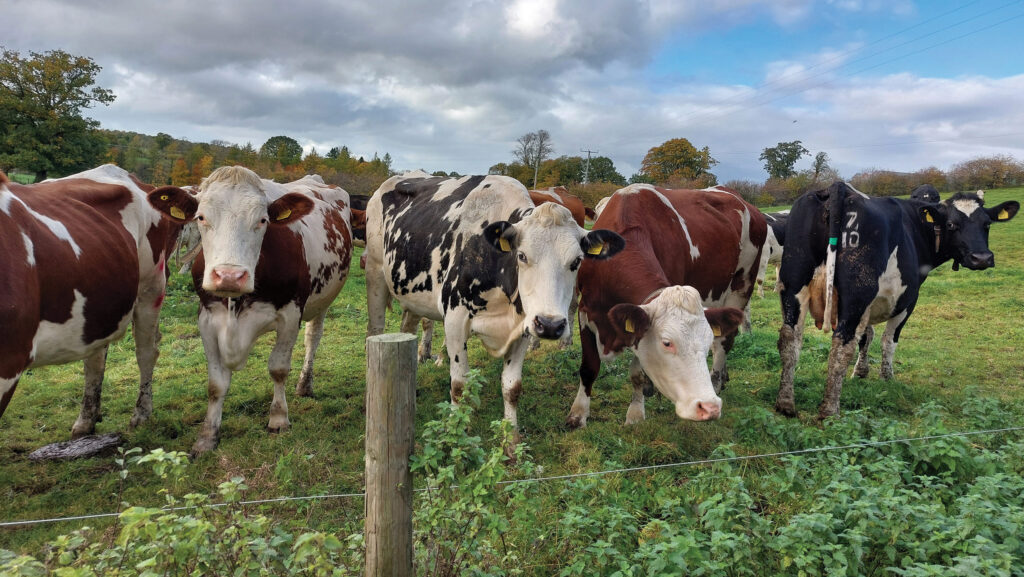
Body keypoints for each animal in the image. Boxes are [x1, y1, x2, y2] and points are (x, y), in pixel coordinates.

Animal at [0, 165, 183, 438]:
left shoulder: (10, 361)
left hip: (152, 286)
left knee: (146, 352)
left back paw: (141, 414)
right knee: (95, 359)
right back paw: (87, 420)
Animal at [147, 166, 354, 454]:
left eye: (263, 220)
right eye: (201, 217)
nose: (229, 276)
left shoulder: (290, 314)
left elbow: (278, 369)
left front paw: (278, 419)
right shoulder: (207, 318)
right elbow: (216, 383)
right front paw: (207, 435)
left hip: (323, 299)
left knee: (313, 338)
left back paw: (305, 384)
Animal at [364, 174, 624, 454]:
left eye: (576, 261)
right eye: (522, 255)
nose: (550, 325)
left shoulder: (523, 329)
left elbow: (512, 388)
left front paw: (511, 441)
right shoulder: (455, 321)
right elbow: (459, 385)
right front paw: (456, 434)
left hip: (411, 295)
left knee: (407, 328)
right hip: (375, 274)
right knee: (375, 330)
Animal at [565, 184, 763, 428]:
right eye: (667, 343)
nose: (709, 407)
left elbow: (637, 373)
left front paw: (635, 413)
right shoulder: (586, 310)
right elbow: (589, 368)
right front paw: (578, 413)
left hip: (742, 284)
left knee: (725, 341)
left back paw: (716, 381)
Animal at [775, 182, 1018, 419]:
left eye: (987, 224)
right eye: (951, 225)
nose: (982, 258)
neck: (917, 226)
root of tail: (837, 187)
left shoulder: (870, 305)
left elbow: (867, 336)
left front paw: (861, 372)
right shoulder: (907, 301)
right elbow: (888, 341)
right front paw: (887, 378)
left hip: (793, 283)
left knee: (790, 338)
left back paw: (785, 404)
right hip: (856, 294)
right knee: (841, 346)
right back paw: (829, 411)